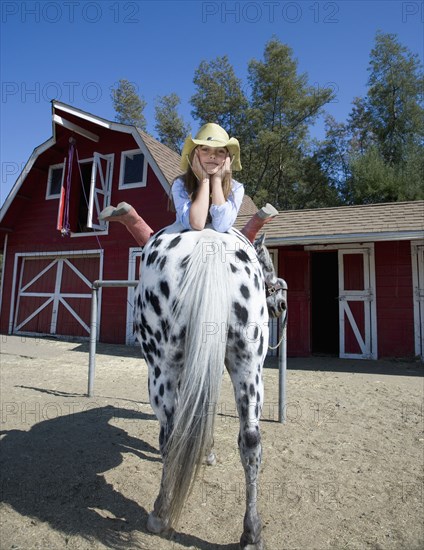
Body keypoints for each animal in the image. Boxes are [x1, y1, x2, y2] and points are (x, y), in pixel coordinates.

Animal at [134, 222, 286, 548]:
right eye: (267, 262)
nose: (281, 303)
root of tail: (209, 241)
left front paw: (207, 452)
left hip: (163, 369)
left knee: (174, 434)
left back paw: (161, 514)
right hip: (246, 366)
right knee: (250, 440)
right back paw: (250, 532)